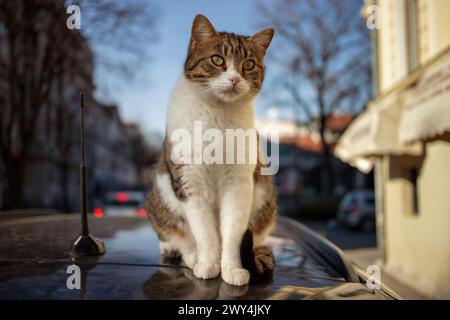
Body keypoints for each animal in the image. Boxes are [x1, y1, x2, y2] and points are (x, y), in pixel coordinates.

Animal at [146, 13, 276, 286]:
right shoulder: (189, 180)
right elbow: (205, 232)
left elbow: (233, 232)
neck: (217, 114)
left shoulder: (238, 183)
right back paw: (190, 255)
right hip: (160, 197)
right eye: (217, 60)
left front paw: (232, 269)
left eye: (249, 64)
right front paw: (207, 263)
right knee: (179, 238)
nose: (234, 79)